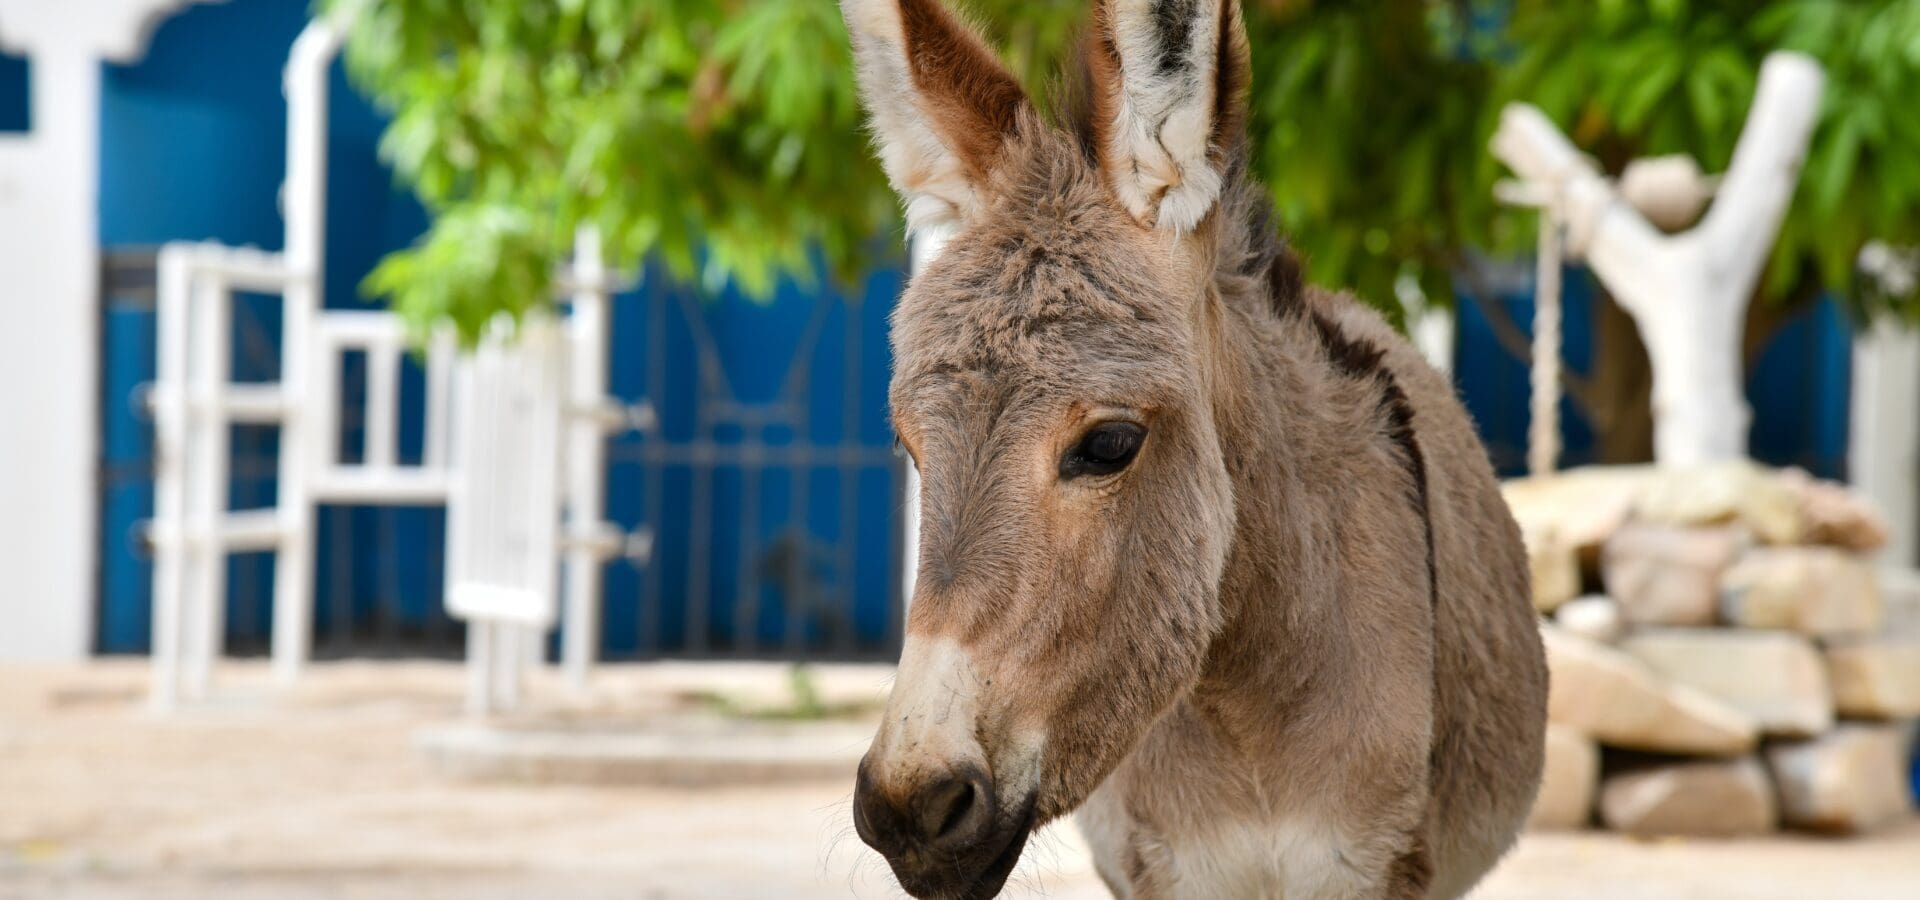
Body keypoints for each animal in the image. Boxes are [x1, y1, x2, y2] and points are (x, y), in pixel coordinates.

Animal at [840, 3, 1543, 894]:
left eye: (1111, 444)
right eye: (911, 446)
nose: (910, 806)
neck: (1246, 704)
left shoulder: (1368, 861)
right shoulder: (1171, 866)